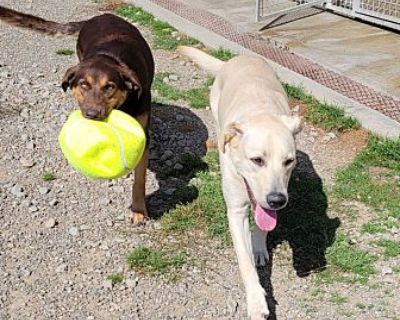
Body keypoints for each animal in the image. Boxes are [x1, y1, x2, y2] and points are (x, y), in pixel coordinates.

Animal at [0, 5, 155, 225]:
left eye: (109, 87)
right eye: (84, 85)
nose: (91, 114)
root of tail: (99, 16)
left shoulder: (145, 134)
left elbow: (140, 179)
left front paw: (139, 210)